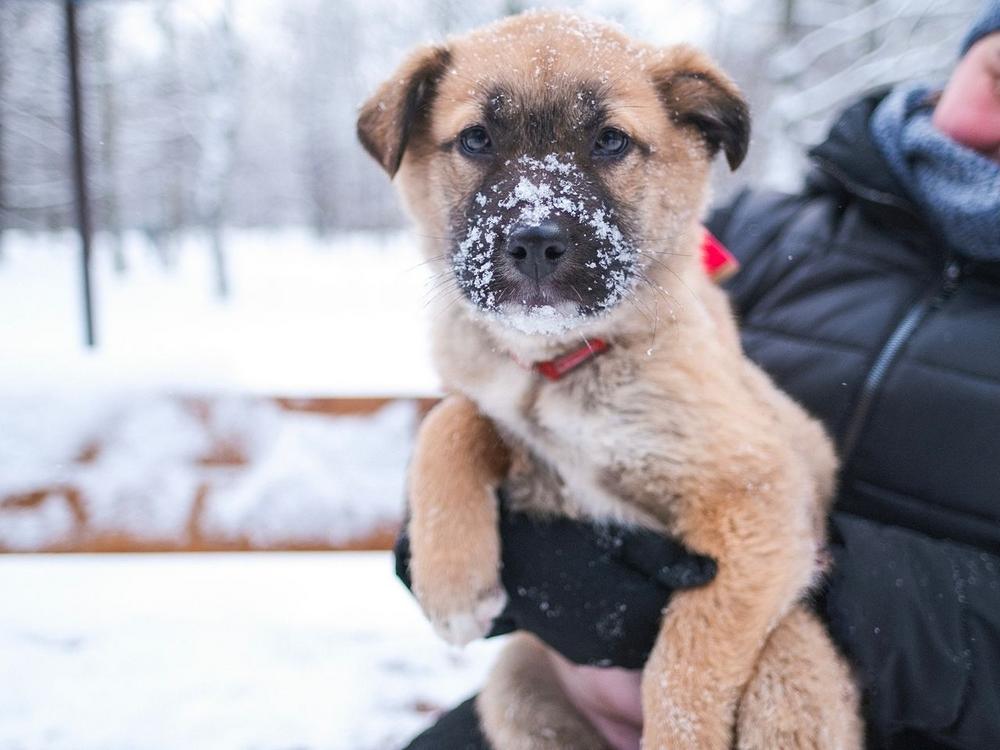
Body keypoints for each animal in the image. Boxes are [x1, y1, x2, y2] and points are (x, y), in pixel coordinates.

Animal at [358, 11, 860, 750]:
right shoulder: (511, 424)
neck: (562, 365)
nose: (536, 242)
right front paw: (452, 585)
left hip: (793, 655)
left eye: (610, 140)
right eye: (476, 138)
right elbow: (450, 421)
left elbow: (684, 664)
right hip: (516, 684)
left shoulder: (756, 498)